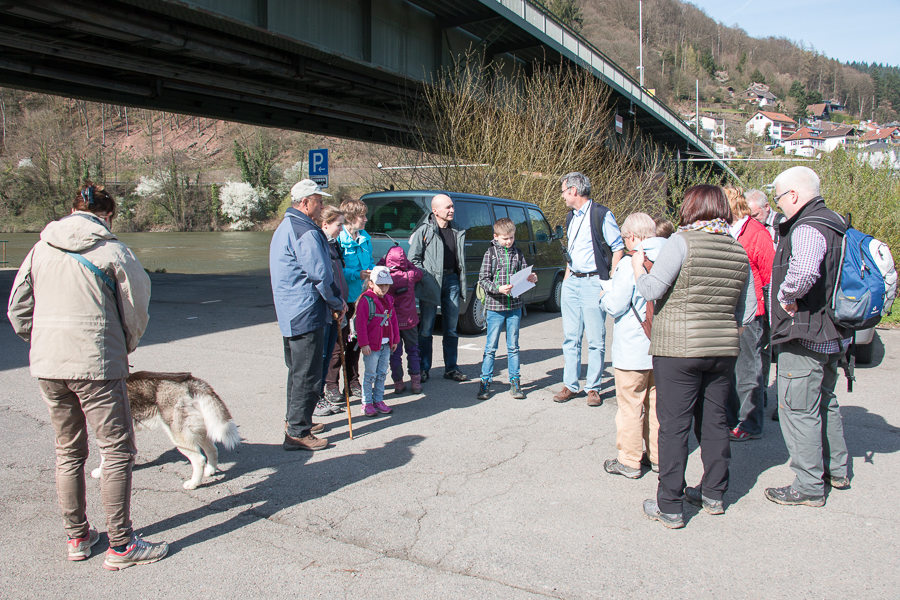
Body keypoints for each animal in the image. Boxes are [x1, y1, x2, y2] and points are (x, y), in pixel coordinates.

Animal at [91, 372, 241, 490]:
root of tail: (189, 381)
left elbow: (105, 457)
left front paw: (101, 472)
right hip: (197, 430)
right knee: (212, 450)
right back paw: (210, 470)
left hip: (179, 436)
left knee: (199, 459)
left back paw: (193, 484)